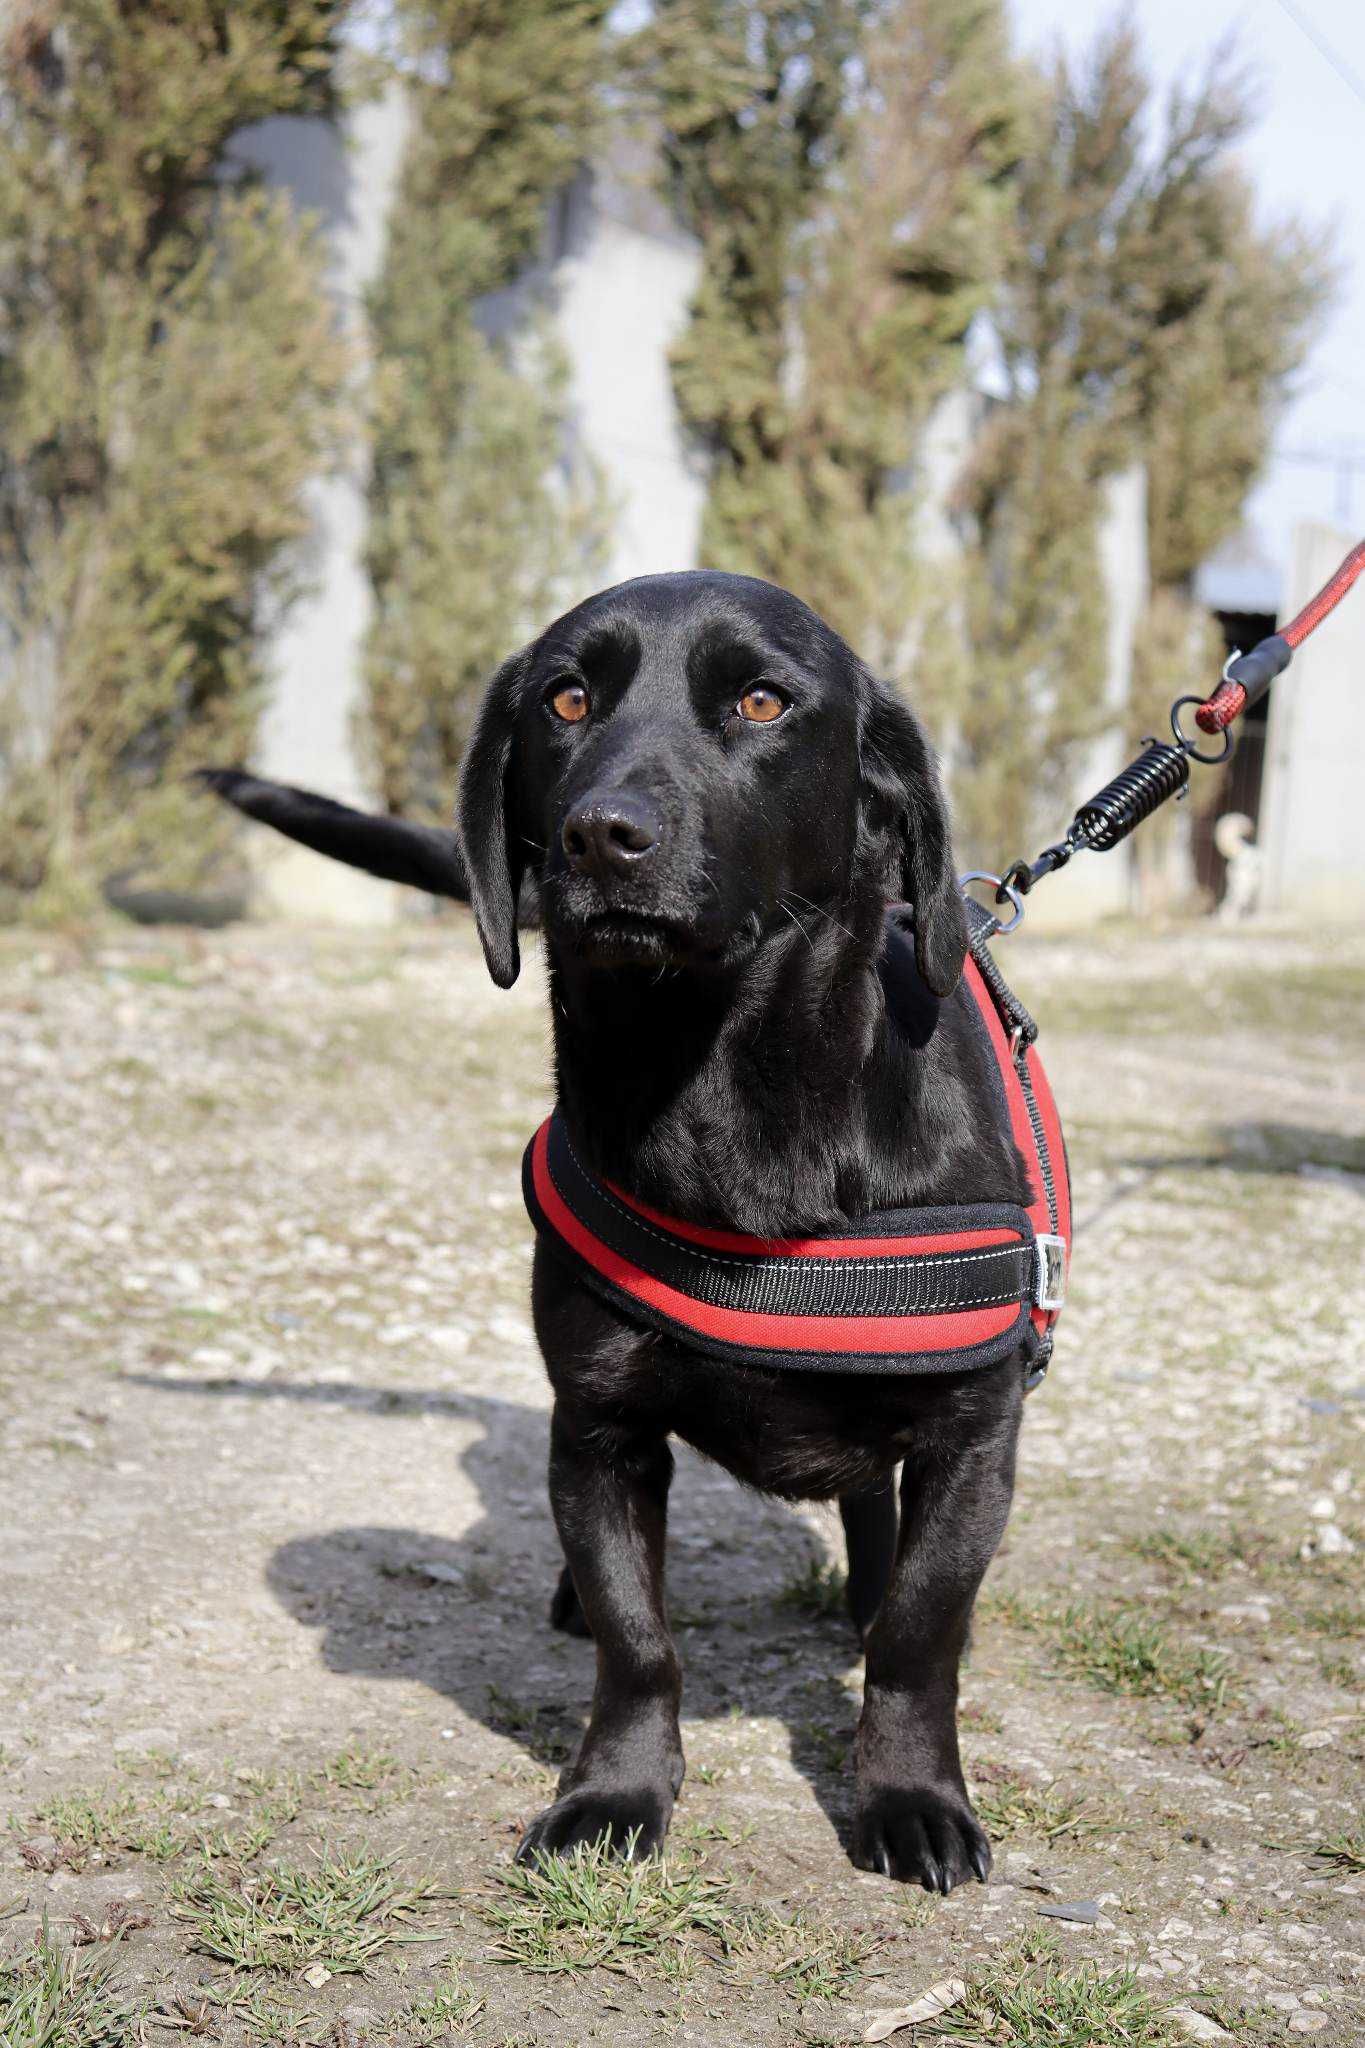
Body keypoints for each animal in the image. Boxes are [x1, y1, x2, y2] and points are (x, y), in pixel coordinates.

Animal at [202, 569, 1035, 1892]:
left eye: (761, 699)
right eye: (566, 697)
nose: (600, 833)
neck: (723, 1096)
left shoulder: (974, 1441)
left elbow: (920, 1632)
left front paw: (912, 1794)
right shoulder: (598, 1428)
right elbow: (635, 1636)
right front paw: (614, 1791)